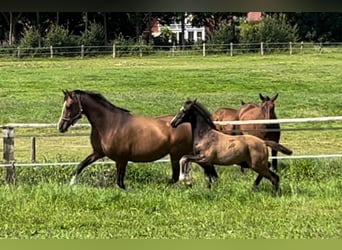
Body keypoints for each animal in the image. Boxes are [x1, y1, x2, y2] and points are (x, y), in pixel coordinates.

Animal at [56, 90, 216, 189]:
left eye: (69, 106)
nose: (61, 126)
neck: (109, 124)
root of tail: (189, 122)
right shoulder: (98, 153)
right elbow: (80, 165)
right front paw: (71, 183)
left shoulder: (121, 159)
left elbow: (120, 182)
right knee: (206, 169)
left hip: (176, 155)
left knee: (178, 176)